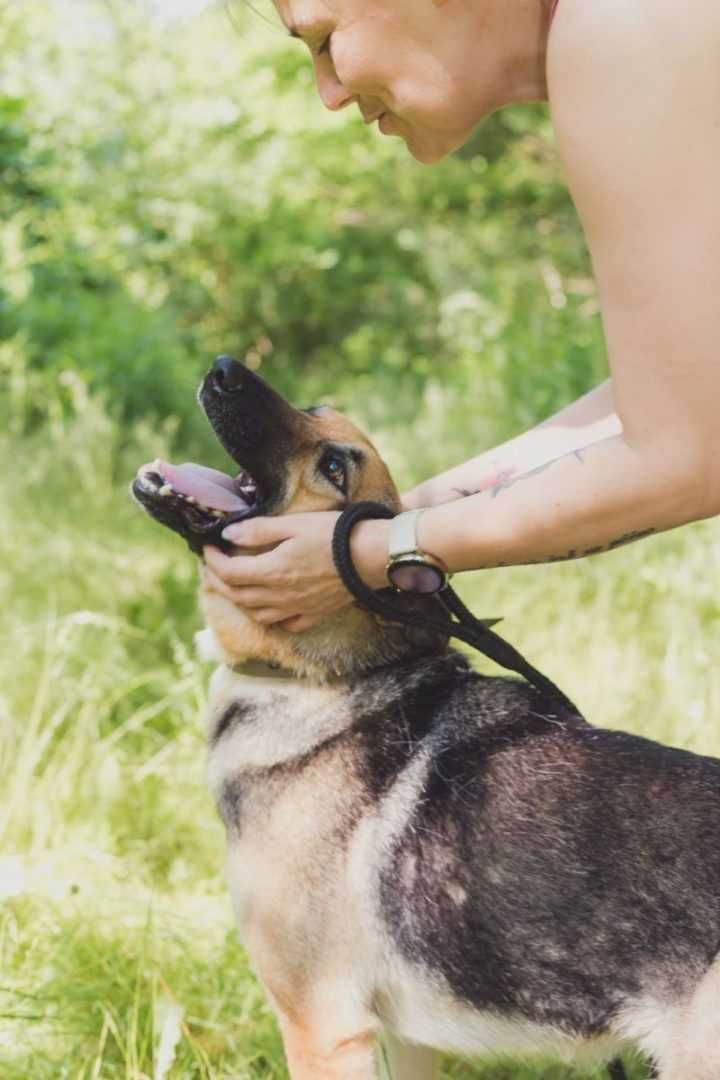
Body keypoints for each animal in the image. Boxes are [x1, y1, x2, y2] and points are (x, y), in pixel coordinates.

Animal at [134, 356, 720, 1080]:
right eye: (315, 407)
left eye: (334, 468)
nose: (223, 368)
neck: (327, 677)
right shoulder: (406, 1037)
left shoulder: (323, 1029)